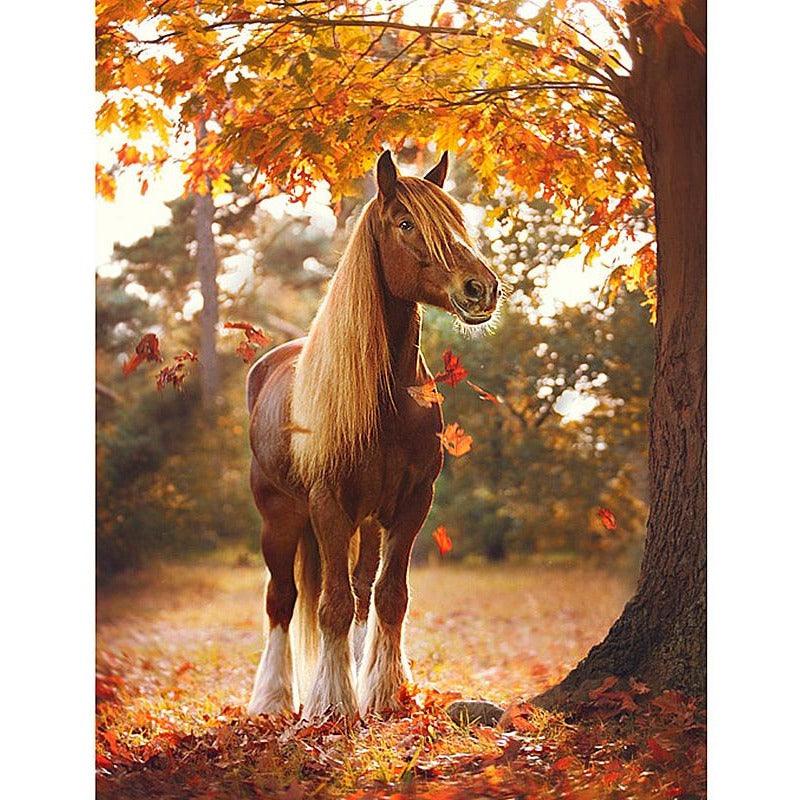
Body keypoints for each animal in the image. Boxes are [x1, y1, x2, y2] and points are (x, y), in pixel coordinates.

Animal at [245, 150, 499, 719]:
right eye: (406, 223)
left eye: (457, 220)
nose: (481, 288)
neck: (387, 402)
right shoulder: (328, 503)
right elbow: (332, 604)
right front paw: (332, 704)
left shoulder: (411, 503)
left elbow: (388, 596)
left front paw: (382, 692)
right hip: (281, 516)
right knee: (282, 600)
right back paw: (272, 699)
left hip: (364, 520)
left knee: (361, 591)